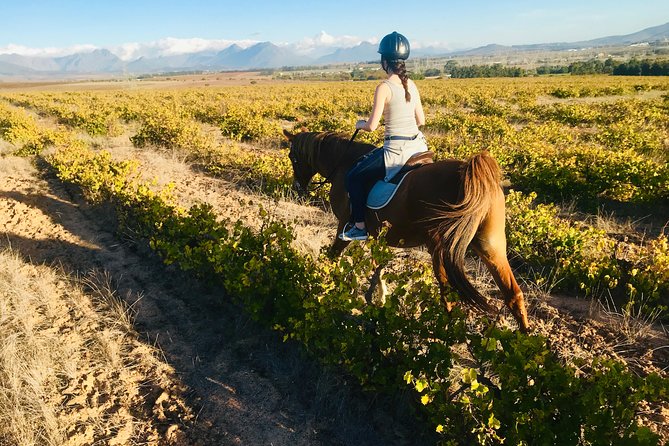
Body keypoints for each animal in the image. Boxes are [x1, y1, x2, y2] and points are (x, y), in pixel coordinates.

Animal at [284, 129, 528, 332]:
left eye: (291, 157)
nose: (297, 188)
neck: (344, 163)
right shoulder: (377, 236)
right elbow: (378, 266)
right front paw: (378, 297)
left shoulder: (344, 227)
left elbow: (334, 256)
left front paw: (324, 285)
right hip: (490, 246)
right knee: (512, 293)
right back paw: (523, 342)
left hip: (440, 250)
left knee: (449, 295)